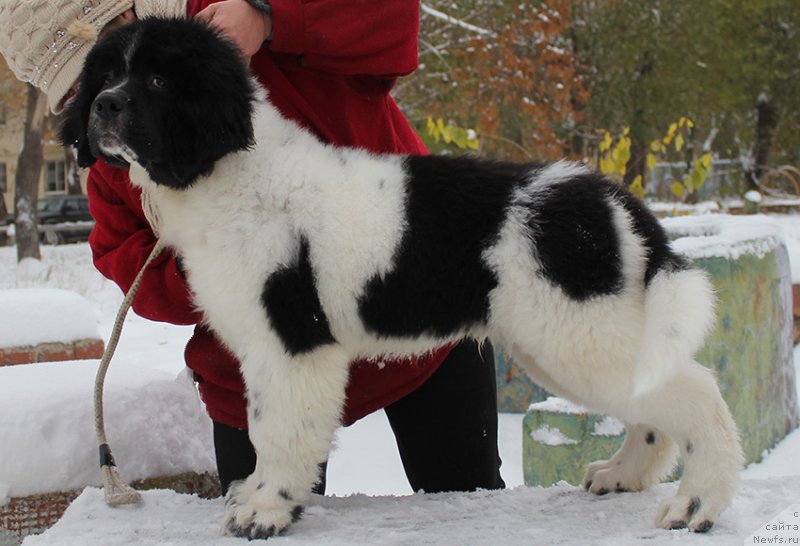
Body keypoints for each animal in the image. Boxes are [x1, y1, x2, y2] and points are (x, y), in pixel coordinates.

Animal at [62, 18, 744, 540]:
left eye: (157, 80)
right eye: (105, 76)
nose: (102, 107)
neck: (233, 172)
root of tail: (611, 200)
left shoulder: (293, 343)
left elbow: (281, 431)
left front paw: (267, 510)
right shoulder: (261, 348)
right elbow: (260, 426)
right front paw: (254, 493)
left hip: (578, 333)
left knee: (700, 397)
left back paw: (697, 503)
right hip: (570, 338)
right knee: (651, 408)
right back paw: (624, 475)